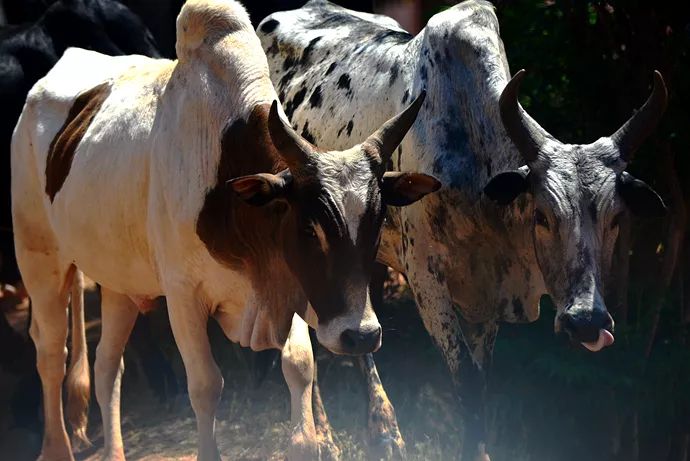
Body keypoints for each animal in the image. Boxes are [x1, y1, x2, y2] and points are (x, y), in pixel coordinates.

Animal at [10, 1, 438, 458]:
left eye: (377, 223)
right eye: (309, 229)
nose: (361, 335)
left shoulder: (285, 287)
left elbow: (300, 366)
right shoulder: (184, 297)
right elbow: (205, 386)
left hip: (119, 281)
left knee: (108, 364)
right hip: (40, 260)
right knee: (50, 354)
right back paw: (56, 446)